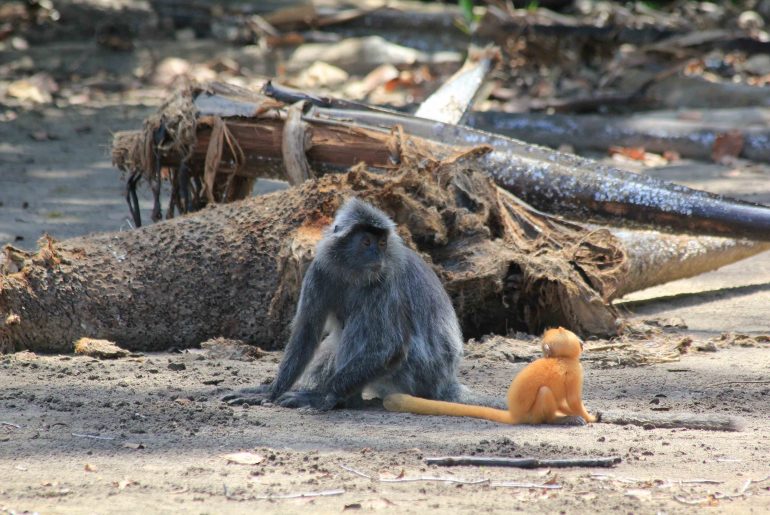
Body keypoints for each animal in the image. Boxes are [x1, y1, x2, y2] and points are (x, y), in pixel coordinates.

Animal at [225, 197, 496, 412]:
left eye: (382, 244)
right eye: (367, 242)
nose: (376, 255)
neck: (352, 272)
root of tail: (447, 381)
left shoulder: (385, 278)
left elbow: (389, 346)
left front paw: (318, 397)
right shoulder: (320, 270)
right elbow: (307, 332)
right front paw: (270, 391)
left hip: (420, 373)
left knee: (361, 325)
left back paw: (345, 401)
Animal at [382, 328, 592, 426]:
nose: (582, 342)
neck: (561, 358)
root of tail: (516, 415)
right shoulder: (576, 371)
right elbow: (573, 399)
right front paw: (588, 417)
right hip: (533, 413)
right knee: (545, 393)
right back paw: (555, 420)